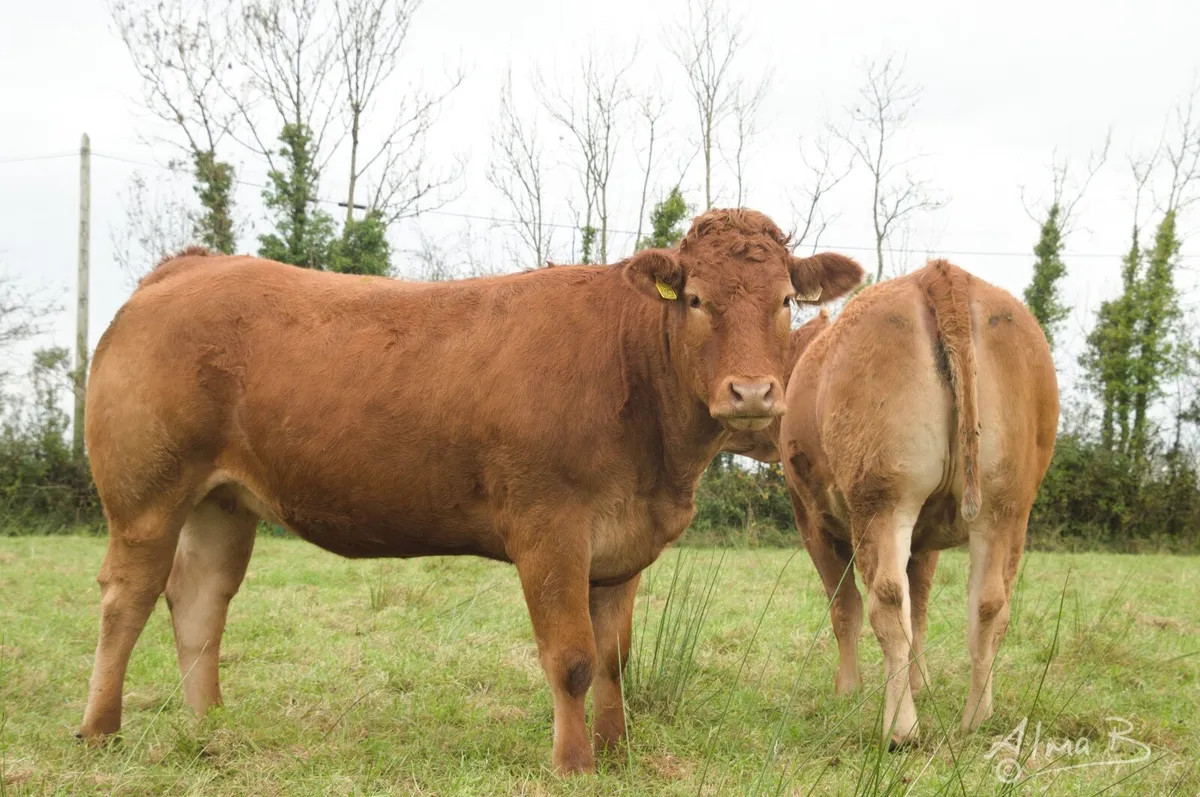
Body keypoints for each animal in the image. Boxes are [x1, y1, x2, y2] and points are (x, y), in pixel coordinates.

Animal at [75, 210, 864, 774]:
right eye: (696, 299)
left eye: (786, 300)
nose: (753, 391)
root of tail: (188, 267)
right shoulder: (549, 527)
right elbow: (572, 657)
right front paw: (573, 763)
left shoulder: (620, 543)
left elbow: (614, 656)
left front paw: (616, 754)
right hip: (146, 494)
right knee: (127, 598)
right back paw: (99, 731)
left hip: (222, 502)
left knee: (200, 600)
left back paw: (210, 727)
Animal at [727, 260, 1058, 747]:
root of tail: (940, 274)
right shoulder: (927, 538)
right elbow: (920, 606)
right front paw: (920, 683)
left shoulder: (813, 523)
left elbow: (845, 607)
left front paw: (848, 689)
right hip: (1007, 507)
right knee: (989, 603)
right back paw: (978, 718)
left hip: (882, 498)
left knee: (886, 600)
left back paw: (900, 728)